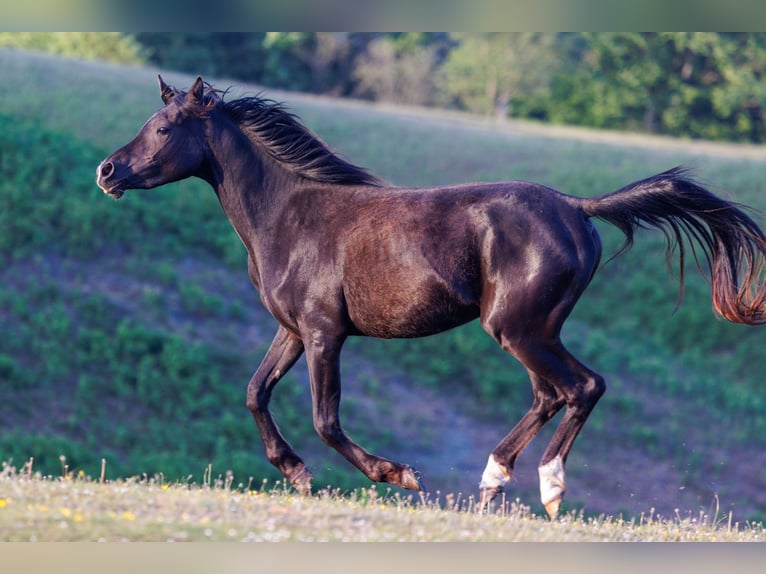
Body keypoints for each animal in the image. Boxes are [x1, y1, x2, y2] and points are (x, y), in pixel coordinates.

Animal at [96, 76, 766, 518]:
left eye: (162, 128)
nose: (107, 172)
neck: (289, 215)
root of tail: (579, 208)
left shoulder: (323, 332)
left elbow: (325, 418)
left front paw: (398, 475)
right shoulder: (291, 330)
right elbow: (255, 393)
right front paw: (296, 473)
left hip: (518, 328)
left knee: (582, 387)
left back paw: (546, 489)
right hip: (531, 331)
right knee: (550, 394)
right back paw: (494, 482)